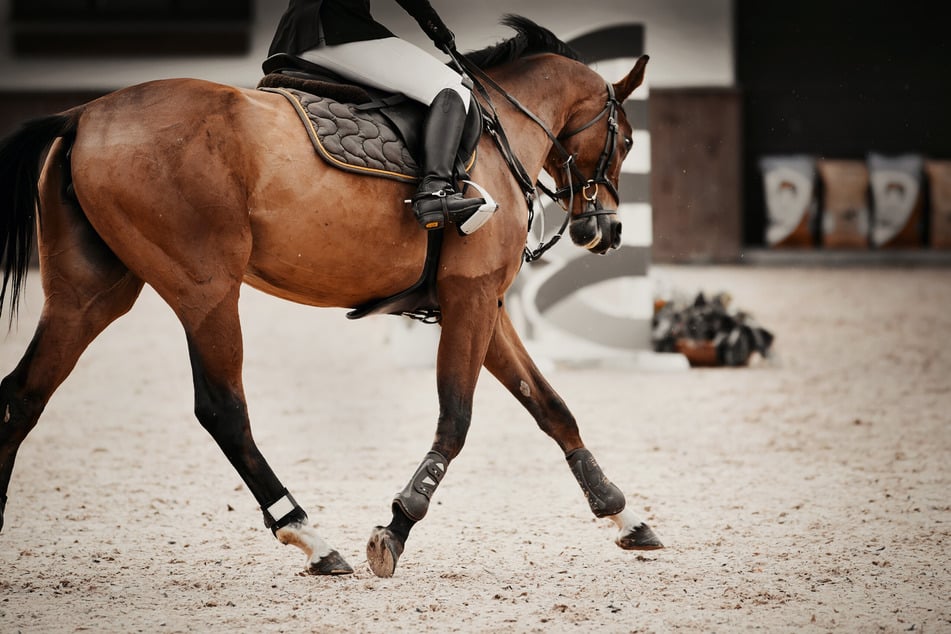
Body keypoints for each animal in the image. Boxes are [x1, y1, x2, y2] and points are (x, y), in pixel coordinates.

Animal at [0, 17, 660, 576]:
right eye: (627, 141)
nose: (606, 232)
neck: (501, 134)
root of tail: (85, 114)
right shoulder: (471, 298)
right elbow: (456, 419)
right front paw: (396, 526)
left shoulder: (481, 303)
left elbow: (551, 407)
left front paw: (625, 516)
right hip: (204, 289)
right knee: (223, 411)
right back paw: (310, 538)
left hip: (91, 295)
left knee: (23, 396)